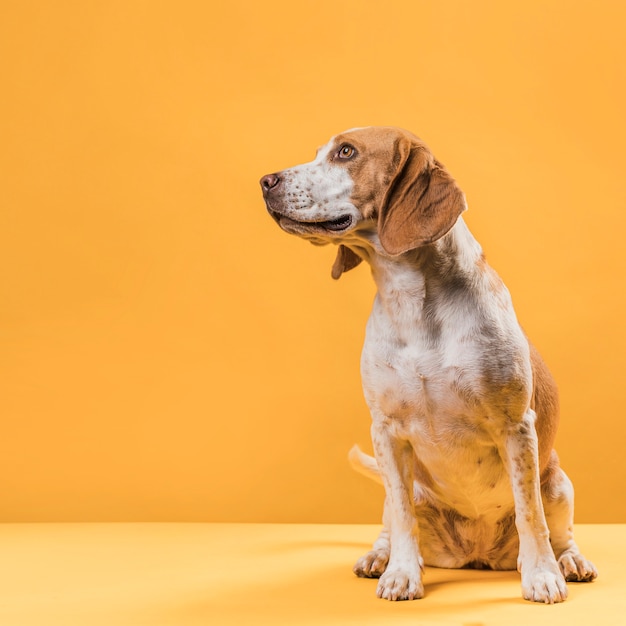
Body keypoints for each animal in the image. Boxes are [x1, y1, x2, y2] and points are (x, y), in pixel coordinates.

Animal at [258, 125, 596, 600]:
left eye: (347, 152)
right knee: (392, 519)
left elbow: (531, 514)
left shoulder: (516, 428)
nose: (265, 181)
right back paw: (379, 557)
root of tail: (477, 553)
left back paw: (569, 561)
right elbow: (402, 518)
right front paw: (401, 573)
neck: (411, 302)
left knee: (559, 529)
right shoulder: (386, 432)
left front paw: (542, 576)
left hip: (558, 481)